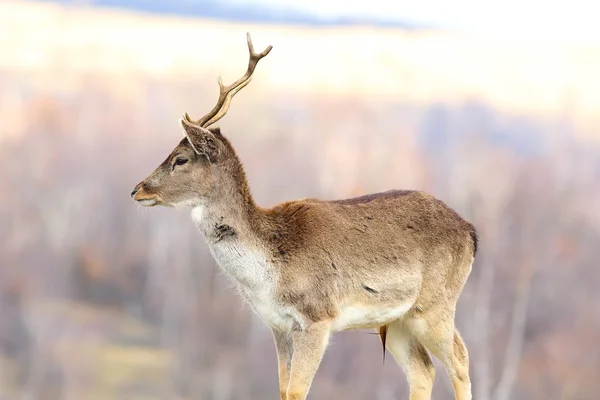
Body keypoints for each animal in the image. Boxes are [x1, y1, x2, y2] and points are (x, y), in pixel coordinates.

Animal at [129, 33, 476, 400]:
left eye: (180, 158)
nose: (137, 190)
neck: (269, 270)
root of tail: (471, 232)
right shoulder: (277, 324)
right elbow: (283, 389)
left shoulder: (317, 316)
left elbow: (296, 390)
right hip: (397, 319)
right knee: (424, 370)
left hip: (436, 304)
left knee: (460, 360)